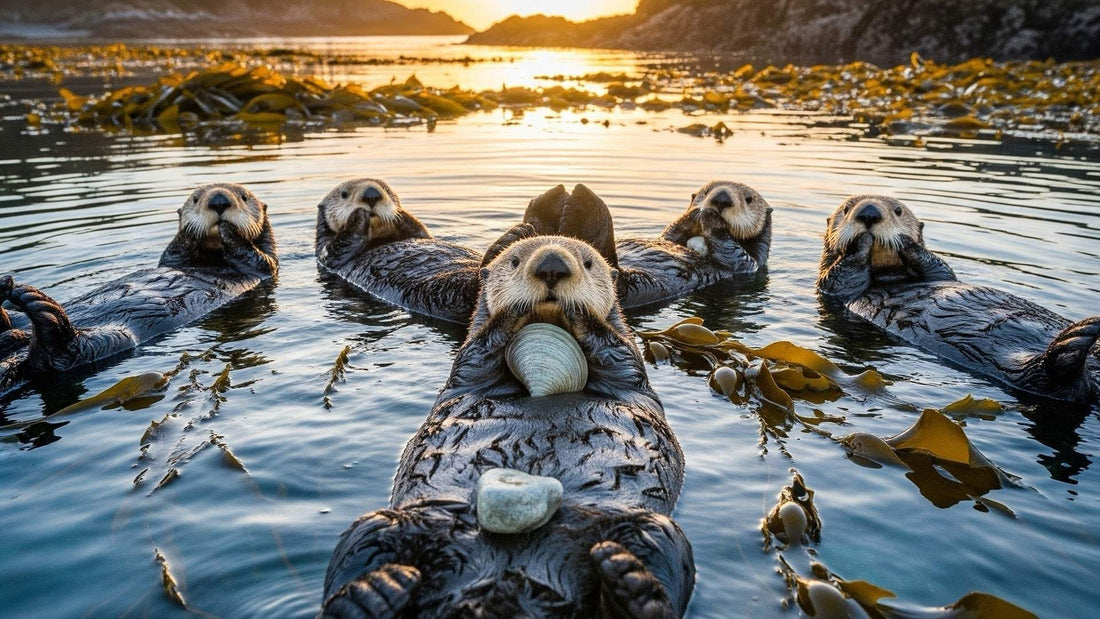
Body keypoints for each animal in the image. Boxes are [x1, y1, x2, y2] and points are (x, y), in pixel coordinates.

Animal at [0, 183, 277, 389]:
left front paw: (229, 230)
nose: (219, 201)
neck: (212, 258)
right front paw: (187, 231)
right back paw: (7, 291)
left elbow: (255, 257)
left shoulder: (264, 266)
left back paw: (34, 302)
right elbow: (173, 252)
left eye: (244, 196)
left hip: (108, 340)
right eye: (196, 198)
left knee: (57, 356)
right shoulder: (173, 260)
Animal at [322, 236, 694, 617]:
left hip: (652, 529)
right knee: (360, 552)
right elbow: (479, 351)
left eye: (589, 263)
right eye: (514, 261)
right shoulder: (469, 370)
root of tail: (500, 591)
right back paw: (374, 592)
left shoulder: (628, 370)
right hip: (384, 525)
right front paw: (512, 312)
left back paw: (631, 584)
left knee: (659, 564)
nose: (551, 265)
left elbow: (616, 350)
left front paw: (581, 313)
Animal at [817, 195, 1100, 403]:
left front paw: (909, 244)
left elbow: (939, 266)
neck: (891, 278)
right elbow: (842, 275)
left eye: (898, 210)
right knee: (1057, 381)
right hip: (1028, 374)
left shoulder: (941, 273)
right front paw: (859, 245)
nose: (869, 213)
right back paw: (1079, 336)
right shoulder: (834, 289)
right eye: (846, 209)